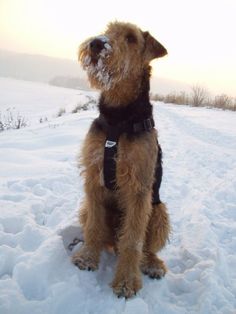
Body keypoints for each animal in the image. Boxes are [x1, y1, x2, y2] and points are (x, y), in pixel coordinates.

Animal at [72, 21, 170, 296]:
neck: (118, 117)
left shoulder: (138, 188)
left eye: (131, 38)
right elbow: (94, 227)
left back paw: (153, 265)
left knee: (146, 248)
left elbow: (133, 241)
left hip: (160, 211)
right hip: (86, 209)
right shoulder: (93, 178)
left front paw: (126, 282)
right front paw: (87, 258)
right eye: (107, 30)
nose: (98, 43)